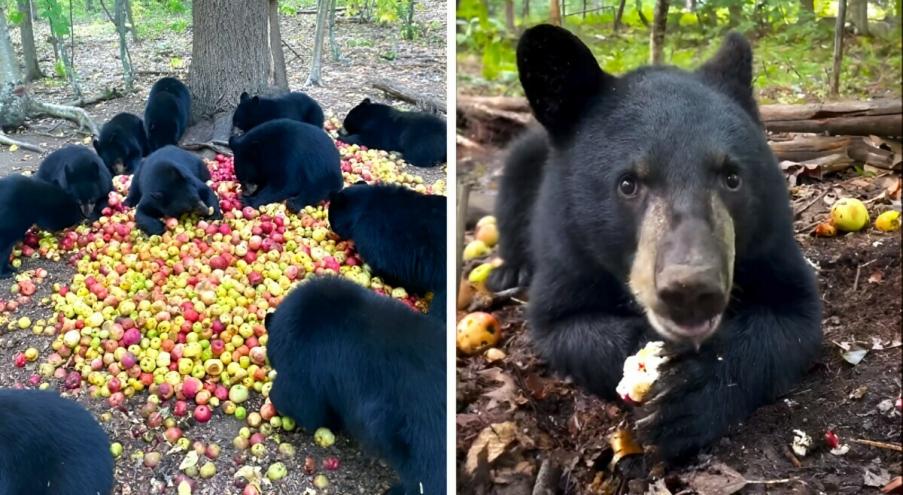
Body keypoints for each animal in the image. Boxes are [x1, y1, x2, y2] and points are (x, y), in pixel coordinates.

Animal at [490, 26, 824, 462]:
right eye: (628, 183)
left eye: (732, 178)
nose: (691, 291)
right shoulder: (567, 248)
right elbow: (562, 324)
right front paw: (647, 358)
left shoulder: (770, 241)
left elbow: (793, 317)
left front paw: (689, 398)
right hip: (524, 162)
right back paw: (508, 270)